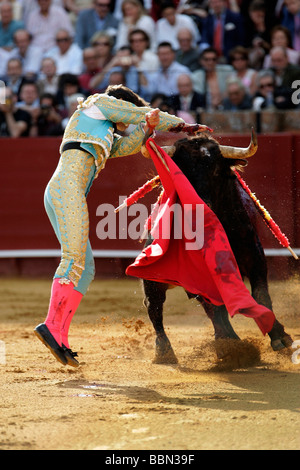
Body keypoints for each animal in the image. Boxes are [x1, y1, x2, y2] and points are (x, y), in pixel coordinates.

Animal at [141, 132, 292, 364]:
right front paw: (230, 345)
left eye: (215, 170)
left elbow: (261, 295)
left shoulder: (255, 257)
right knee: (155, 308)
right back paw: (165, 351)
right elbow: (216, 308)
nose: (197, 206)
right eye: (179, 172)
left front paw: (280, 337)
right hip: (152, 279)